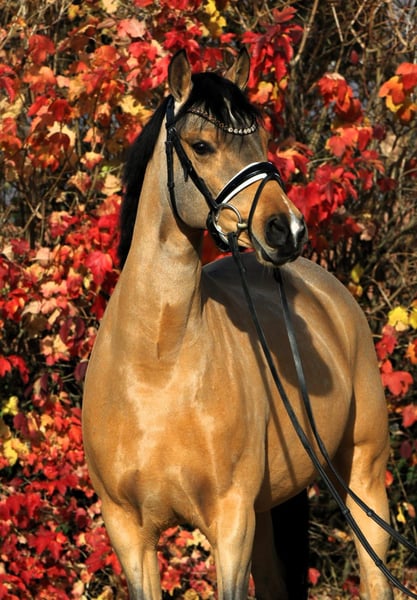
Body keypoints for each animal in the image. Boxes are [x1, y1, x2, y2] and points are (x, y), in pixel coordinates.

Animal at [82, 49, 393, 600]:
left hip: (364, 478)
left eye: (261, 141)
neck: (157, 369)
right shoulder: (128, 532)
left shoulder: (231, 523)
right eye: (202, 146)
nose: (287, 229)